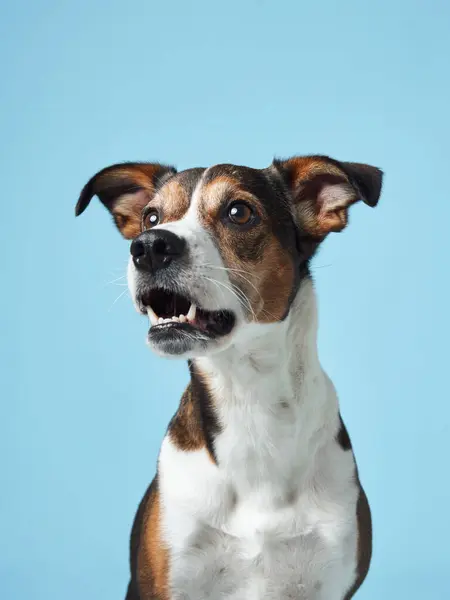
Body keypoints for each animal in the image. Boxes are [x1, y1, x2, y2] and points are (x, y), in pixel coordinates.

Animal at [75, 156, 382, 600]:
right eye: (152, 216)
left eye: (238, 212)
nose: (148, 246)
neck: (248, 396)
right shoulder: (169, 575)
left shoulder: (330, 578)